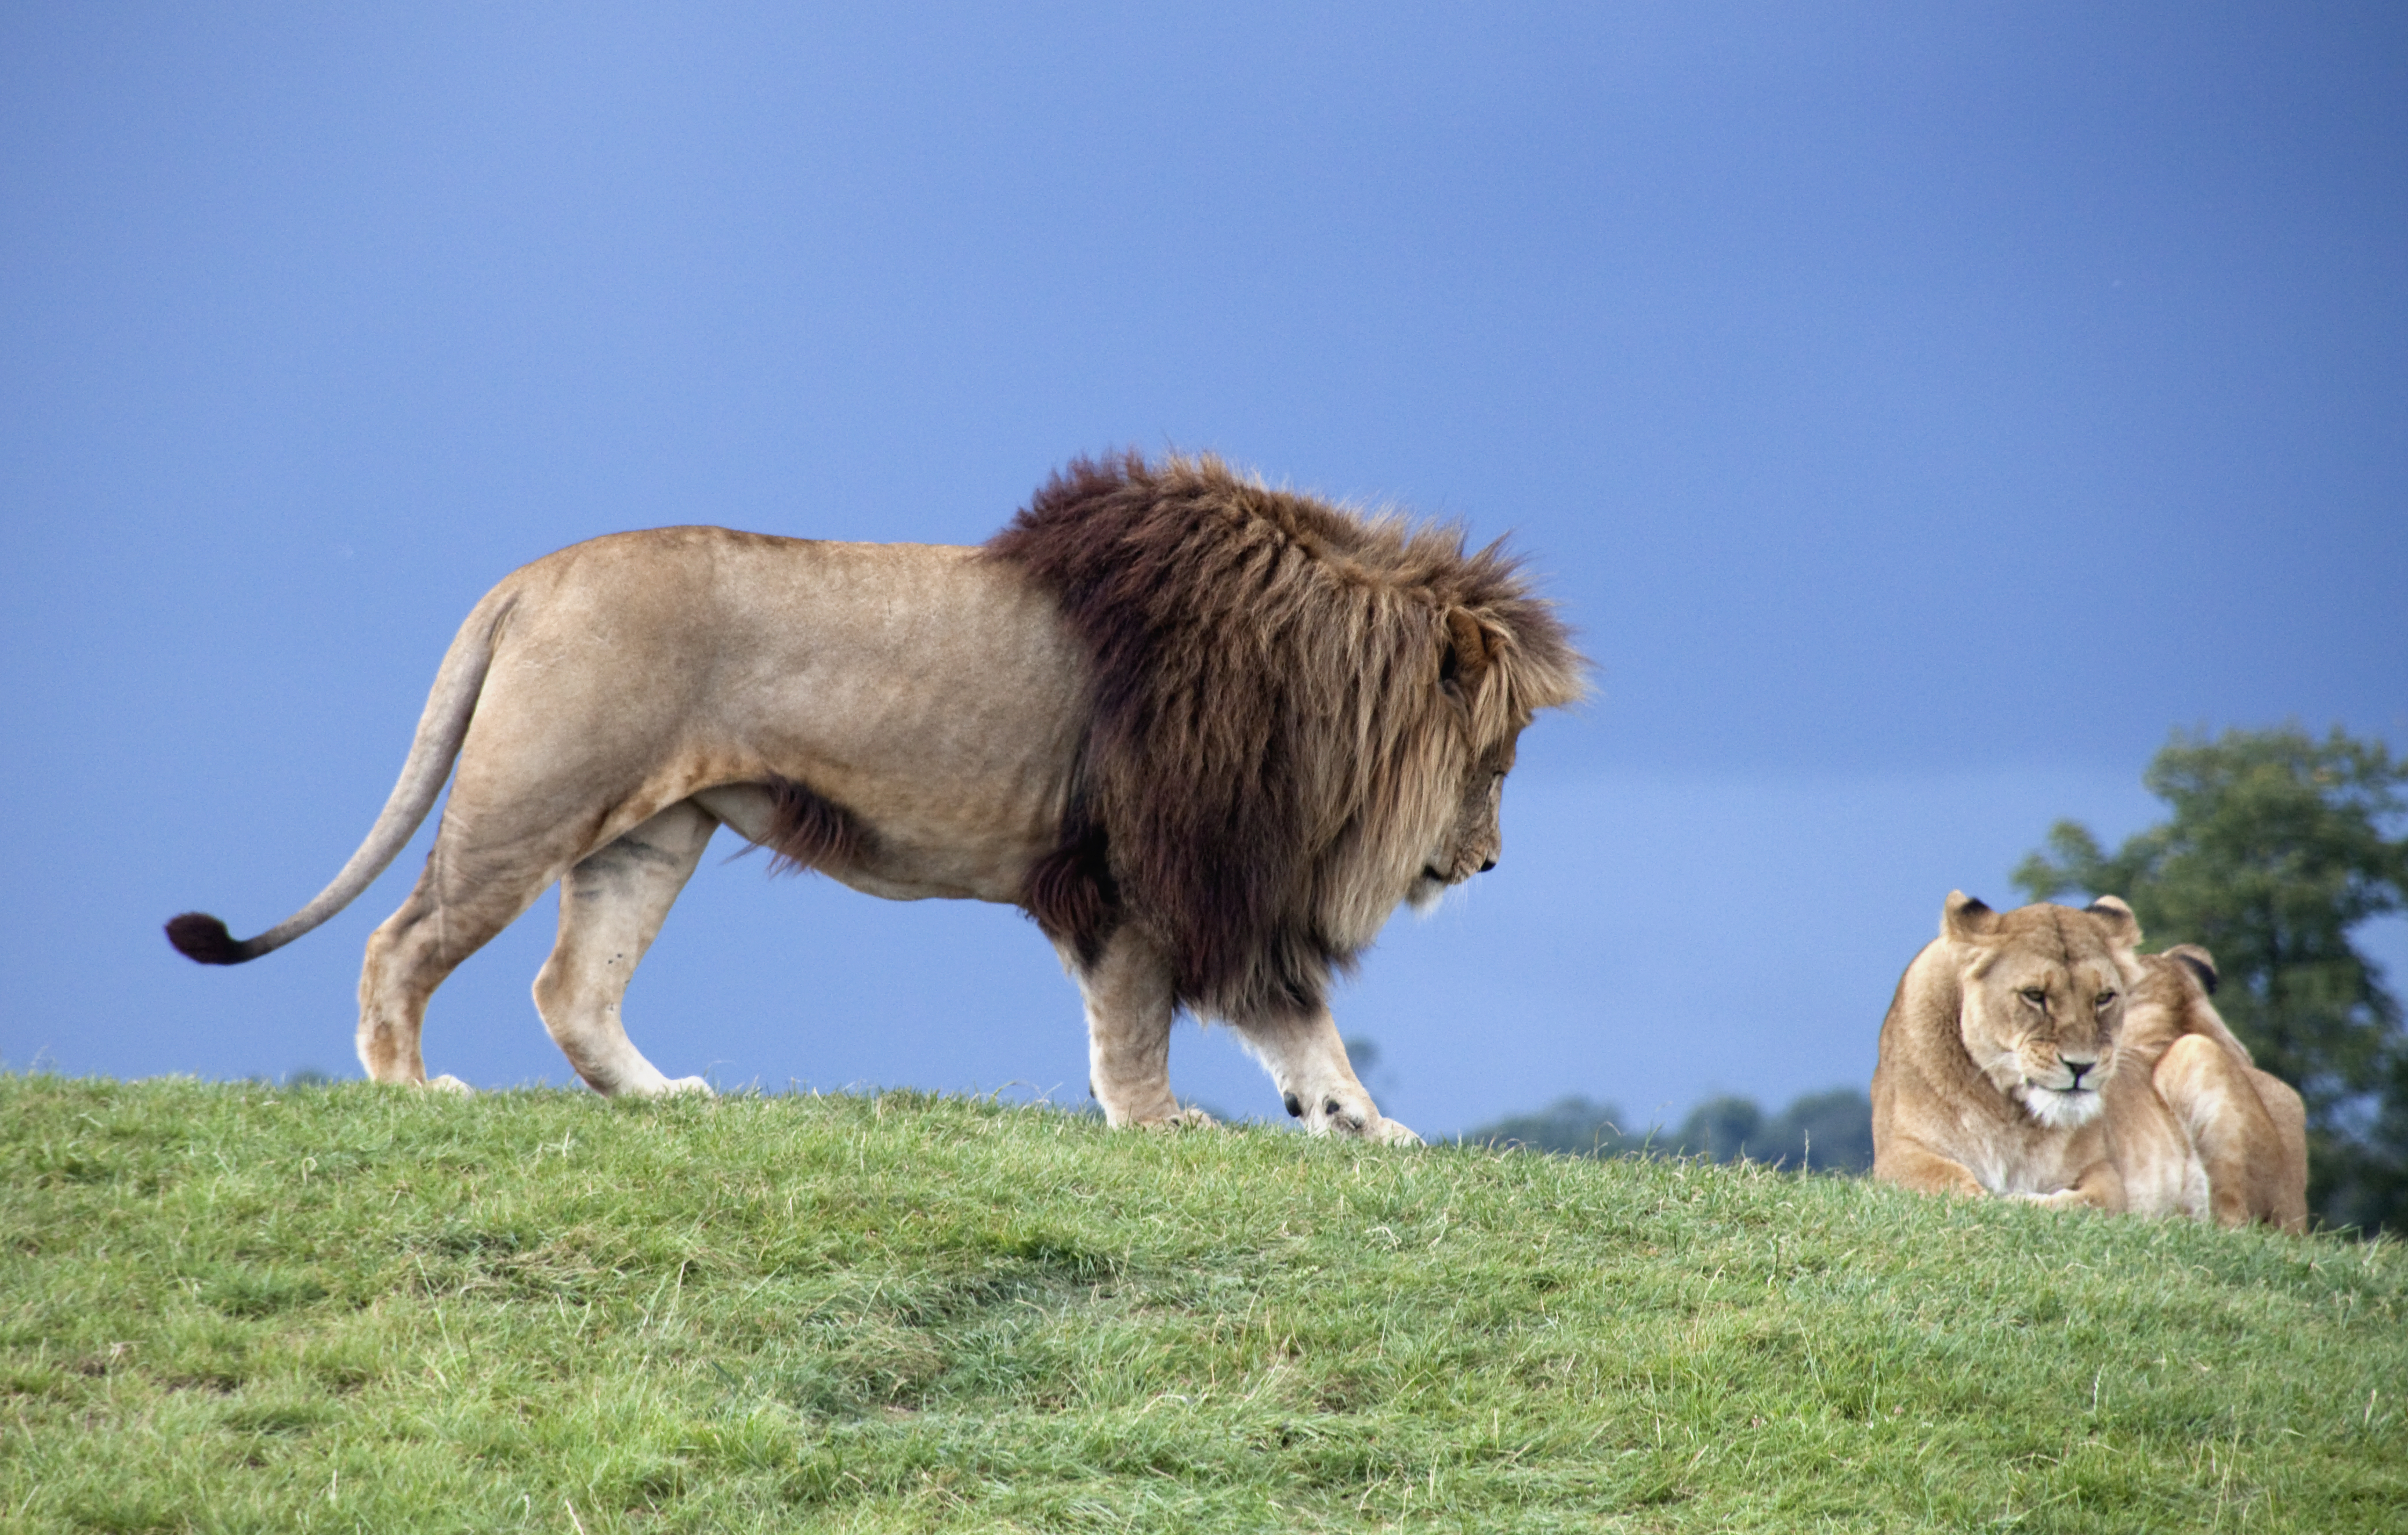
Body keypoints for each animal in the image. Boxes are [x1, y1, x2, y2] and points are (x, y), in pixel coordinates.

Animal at [165, 452, 1585, 1142]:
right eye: (1499, 764)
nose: (1491, 862)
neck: (1314, 703)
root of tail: (530, 576)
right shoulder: (1139, 870)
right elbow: (1140, 1022)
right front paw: (1162, 1125)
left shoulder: (1222, 886)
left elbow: (1305, 1030)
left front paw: (1362, 1125)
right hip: (536, 794)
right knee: (401, 940)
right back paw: (409, 1089)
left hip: (651, 833)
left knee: (569, 988)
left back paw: (660, 1098)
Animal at [1871, 893, 2309, 1230]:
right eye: (2035, 995)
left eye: (2103, 998)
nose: (2081, 1067)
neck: (2006, 1108)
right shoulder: (1898, 1155)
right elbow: (1948, 1182)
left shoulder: (2105, 1175)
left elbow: (2080, 1203)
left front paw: (2014, 1202)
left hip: (2195, 1053)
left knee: (2234, 1225)